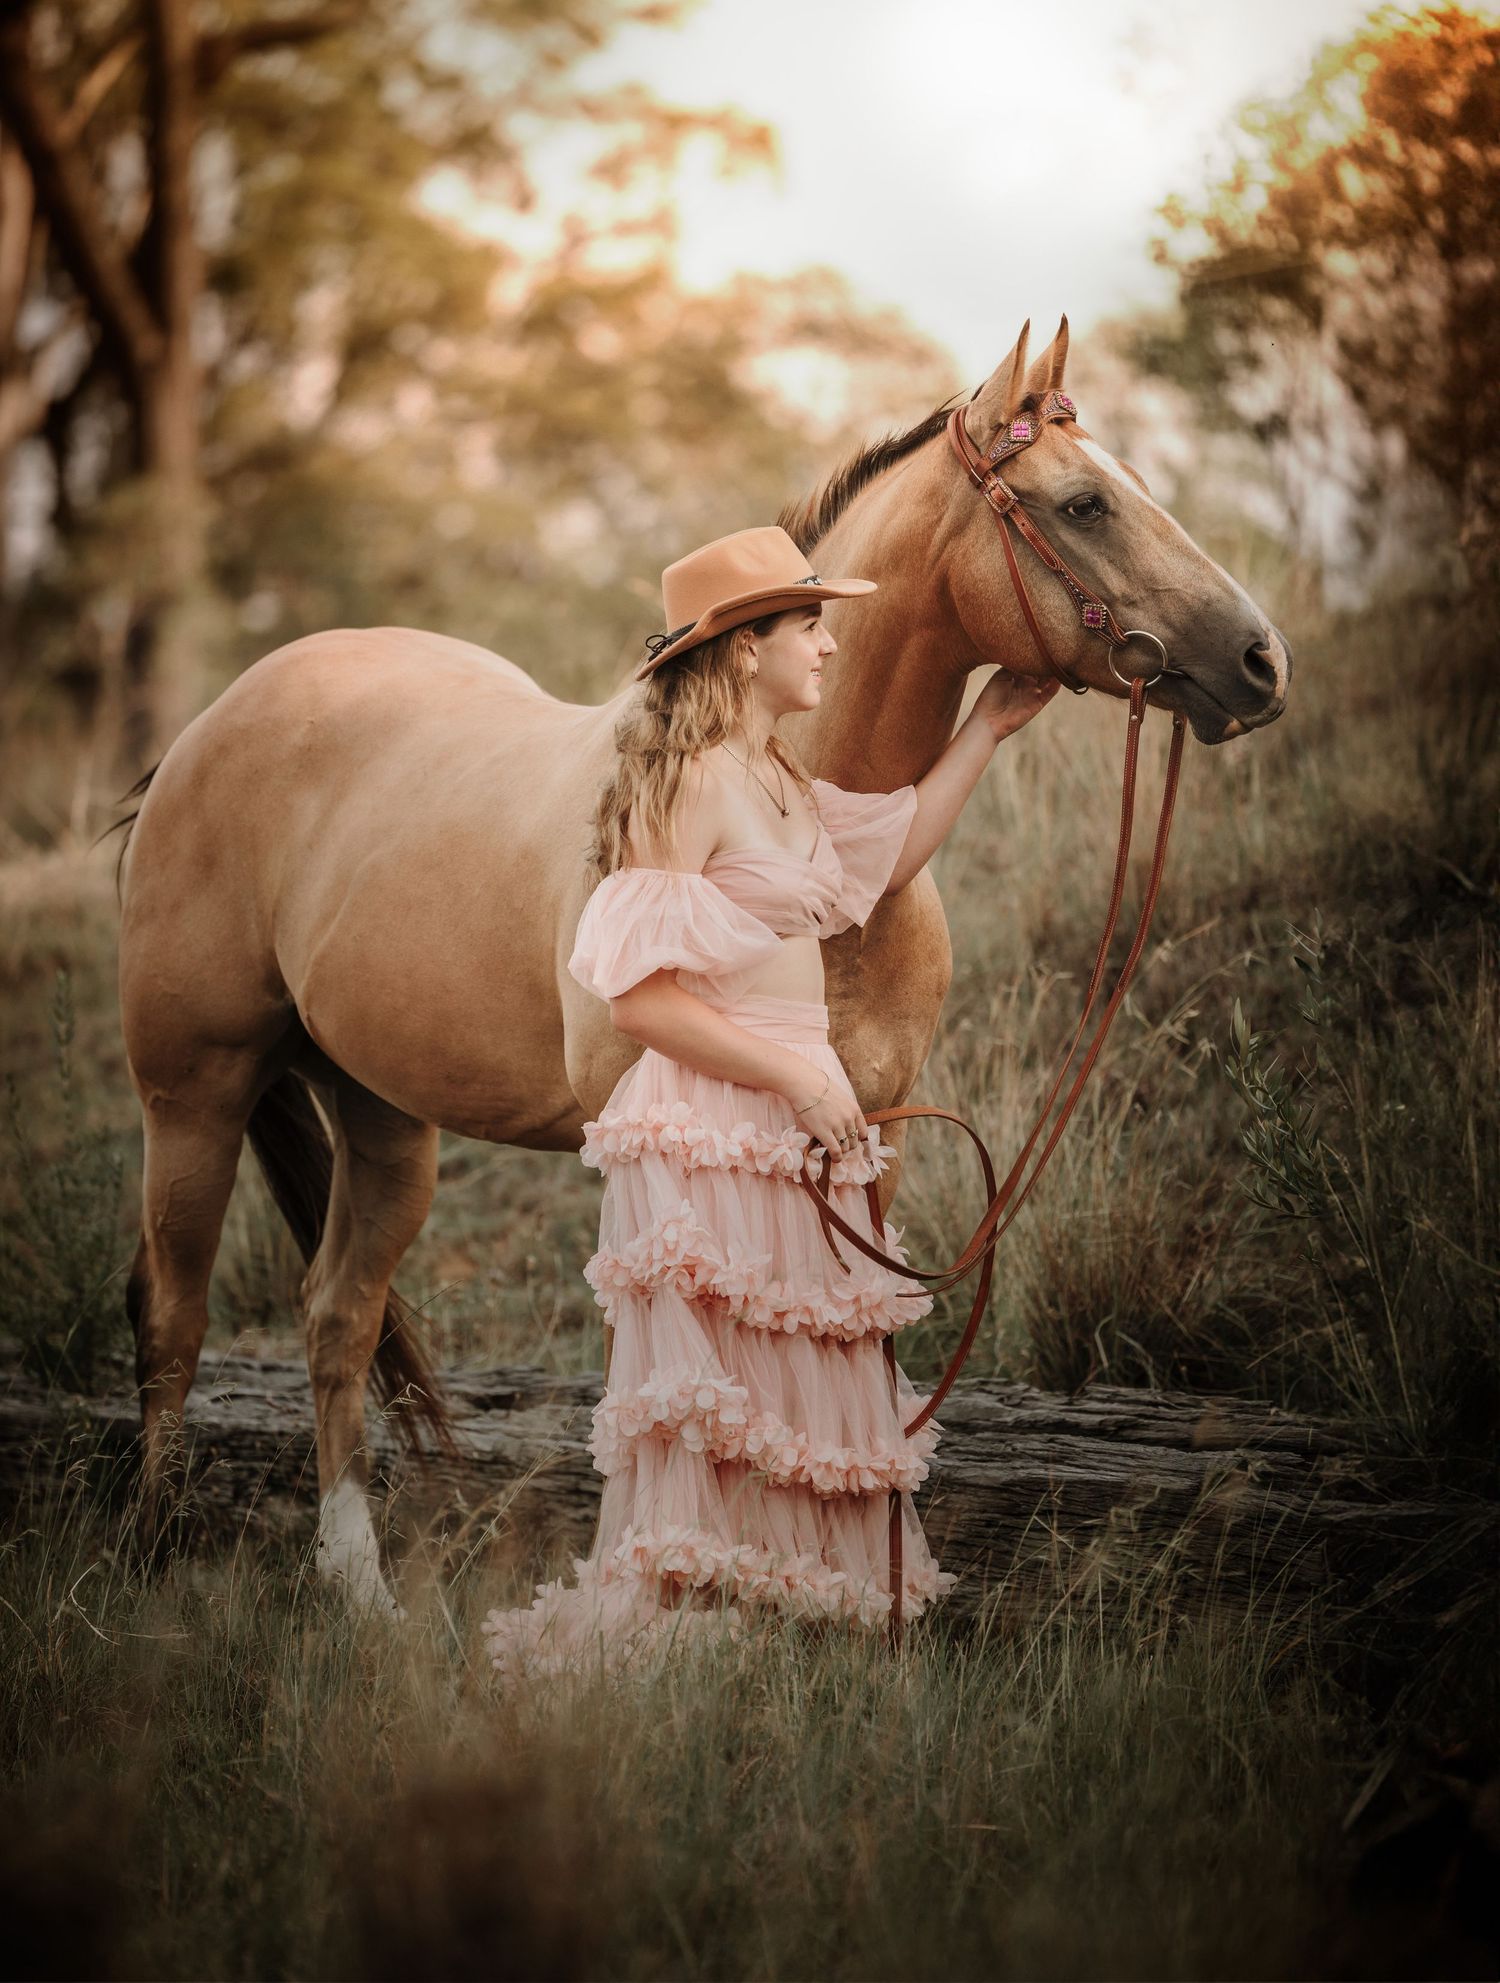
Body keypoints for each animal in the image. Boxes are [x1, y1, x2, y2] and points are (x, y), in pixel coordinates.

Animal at [112, 317, 1290, 1613]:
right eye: (1084, 504)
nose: (1260, 661)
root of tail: (208, 727)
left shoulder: (867, 1136)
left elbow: (850, 1336)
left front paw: (861, 1592)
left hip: (382, 1116)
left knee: (338, 1319)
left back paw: (360, 1588)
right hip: (195, 1095)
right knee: (171, 1315)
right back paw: (156, 1551)